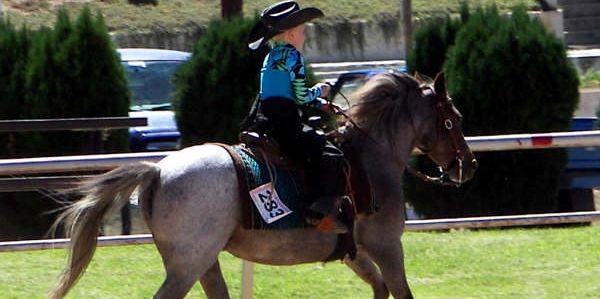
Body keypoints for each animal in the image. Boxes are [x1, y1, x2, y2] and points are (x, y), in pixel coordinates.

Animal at [48, 71, 478, 298]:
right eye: (453, 119)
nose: (469, 166)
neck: (370, 158)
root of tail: (158, 171)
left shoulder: (355, 253)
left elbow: (380, 288)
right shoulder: (388, 246)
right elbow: (399, 290)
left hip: (202, 262)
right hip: (188, 264)